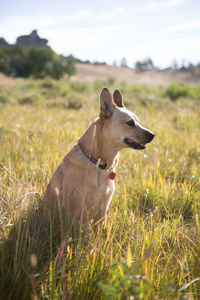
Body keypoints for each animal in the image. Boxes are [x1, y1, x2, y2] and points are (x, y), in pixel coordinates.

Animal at [43, 88, 155, 226]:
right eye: (130, 123)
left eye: (137, 121)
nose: (153, 135)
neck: (97, 162)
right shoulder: (74, 211)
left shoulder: (102, 209)